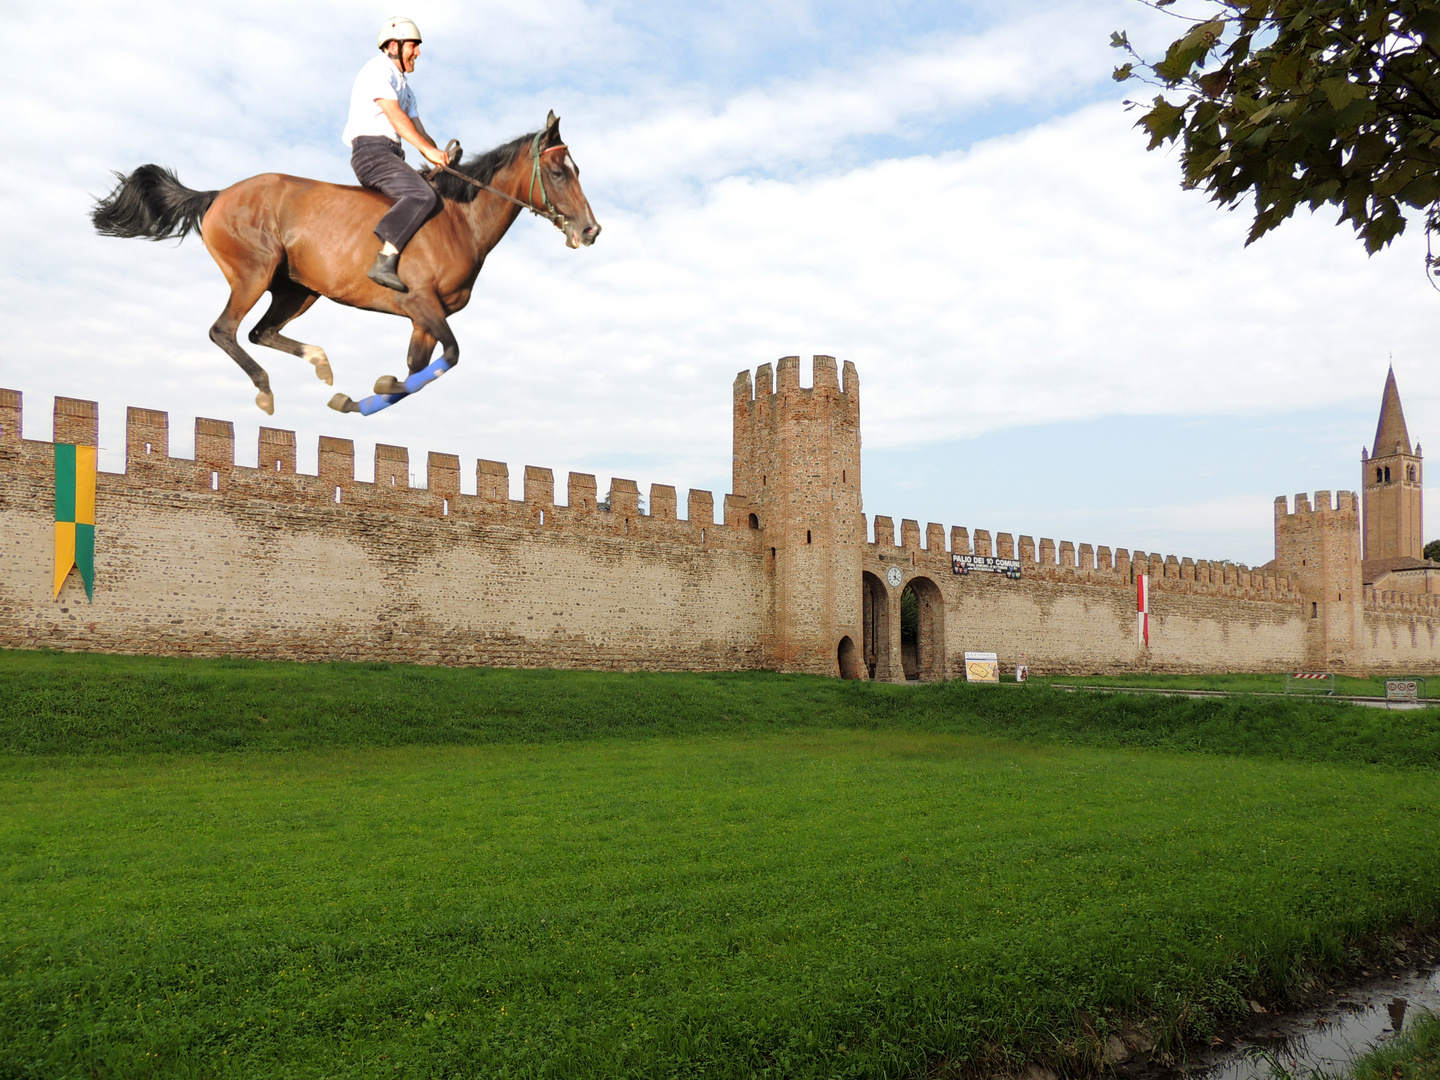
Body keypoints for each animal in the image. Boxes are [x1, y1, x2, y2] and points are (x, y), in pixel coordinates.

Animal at [90, 110, 599, 414]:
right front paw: (373, 392)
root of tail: (218, 195)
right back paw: (265, 388)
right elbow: (450, 356)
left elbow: (414, 372)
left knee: (260, 332)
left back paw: (320, 363)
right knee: (225, 331)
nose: (590, 230)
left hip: (297, 290)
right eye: (558, 172)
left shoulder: (421, 321)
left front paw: (363, 397)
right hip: (253, 274)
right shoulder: (422, 305)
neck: (460, 218)